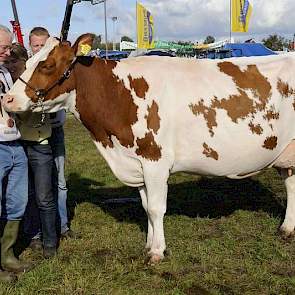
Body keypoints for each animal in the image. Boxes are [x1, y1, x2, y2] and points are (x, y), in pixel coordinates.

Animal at [3, 34, 295, 264]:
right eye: (28, 60)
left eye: (47, 65)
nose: (8, 99)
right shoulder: (138, 163)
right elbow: (146, 207)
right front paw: (149, 244)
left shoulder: (155, 160)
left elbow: (156, 208)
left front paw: (156, 252)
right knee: (291, 185)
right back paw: (287, 228)